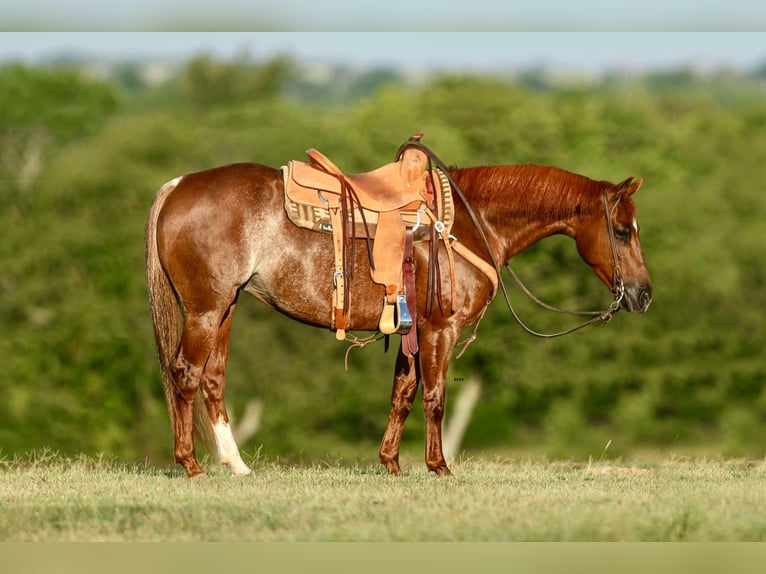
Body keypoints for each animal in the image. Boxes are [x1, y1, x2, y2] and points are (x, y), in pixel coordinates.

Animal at [146, 156, 656, 476]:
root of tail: (176, 186)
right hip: (206, 310)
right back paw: (190, 464)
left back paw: (236, 465)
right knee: (185, 374)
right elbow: (434, 398)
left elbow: (403, 395)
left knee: (213, 381)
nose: (644, 294)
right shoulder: (441, 329)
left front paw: (391, 462)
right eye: (622, 230)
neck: (469, 222)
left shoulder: (414, 330)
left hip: (225, 308)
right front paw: (438, 466)